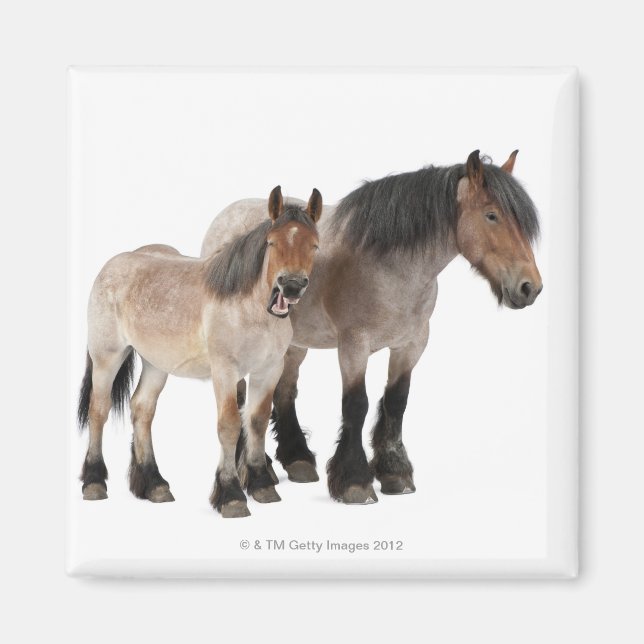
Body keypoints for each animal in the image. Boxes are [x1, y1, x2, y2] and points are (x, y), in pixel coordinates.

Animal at [77, 186, 323, 518]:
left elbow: (256, 421)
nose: (291, 286)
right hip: (107, 357)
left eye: (314, 245)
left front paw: (261, 485)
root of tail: (111, 266)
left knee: (142, 409)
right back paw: (94, 482)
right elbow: (229, 425)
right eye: (271, 242)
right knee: (98, 410)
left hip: (156, 363)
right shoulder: (226, 371)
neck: (248, 308)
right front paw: (231, 495)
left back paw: (155, 485)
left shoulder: (268, 370)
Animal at [201, 151, 542, 505]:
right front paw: (355, 481)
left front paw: (395, 472)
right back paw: (255, 470)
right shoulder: (354, 346)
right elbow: (356, 404)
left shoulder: (412, 344)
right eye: (492, 215)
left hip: (294, 344)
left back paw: (296, 459)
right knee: (242, 398)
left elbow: (396, 401)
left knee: (284, 392)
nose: (529, 287)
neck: (388, 266)